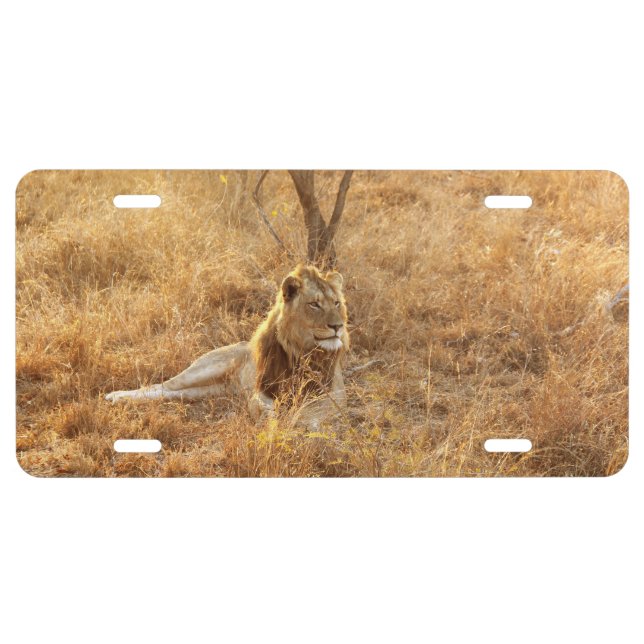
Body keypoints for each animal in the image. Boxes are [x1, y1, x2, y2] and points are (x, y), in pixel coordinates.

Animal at [105, 265, 349, 426]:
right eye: (314, 304)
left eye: (337, 303)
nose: (338, 326)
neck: (303, 350)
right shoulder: (262, 390)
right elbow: (260, 407)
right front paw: (272, 421)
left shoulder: (335, 394)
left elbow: (314, 411)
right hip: (203, 370)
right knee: (162, 385)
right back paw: (116, 396)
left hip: (207, 390)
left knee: (170, 393)